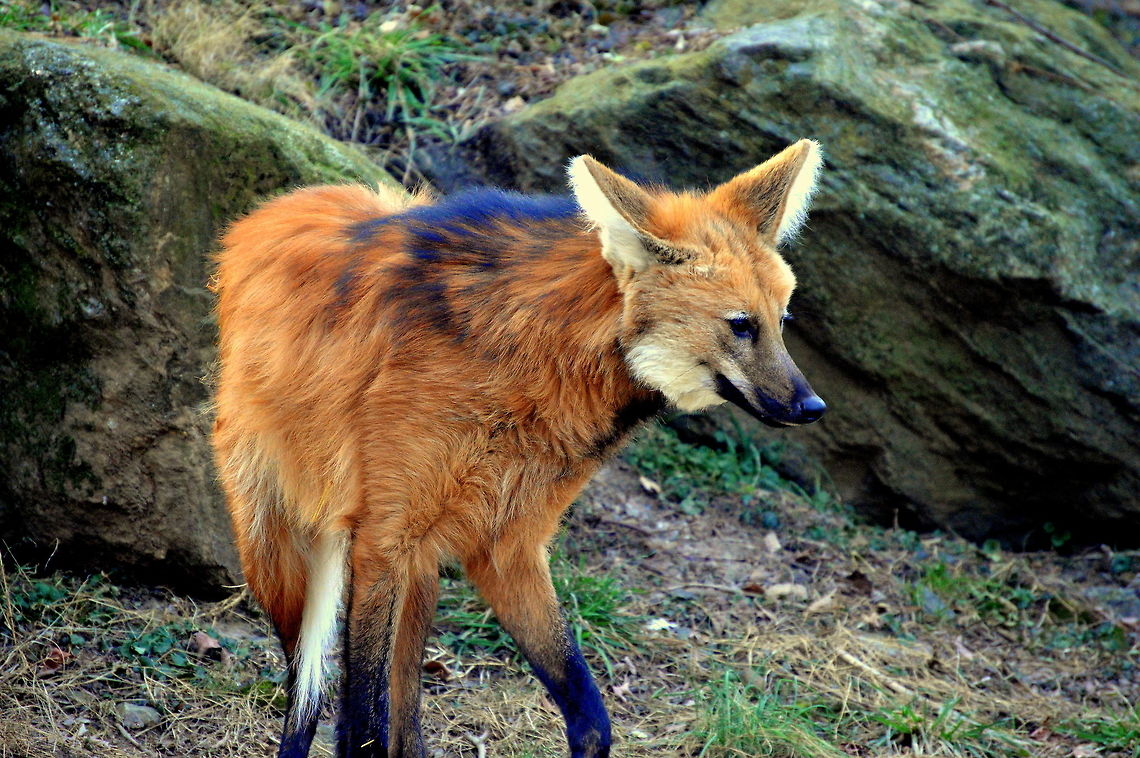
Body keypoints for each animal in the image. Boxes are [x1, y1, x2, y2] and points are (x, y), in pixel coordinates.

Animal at [210, 139, 827, 758]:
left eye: (782, 321)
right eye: (741, 325)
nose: (812, 406)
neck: (536, 363)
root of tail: (273, 209)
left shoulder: (506, 544)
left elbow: (591, 719)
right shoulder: (381, 538)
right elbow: (360, 729)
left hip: (416, 566)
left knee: (403, 712)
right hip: (279, 552)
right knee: (304, 687)